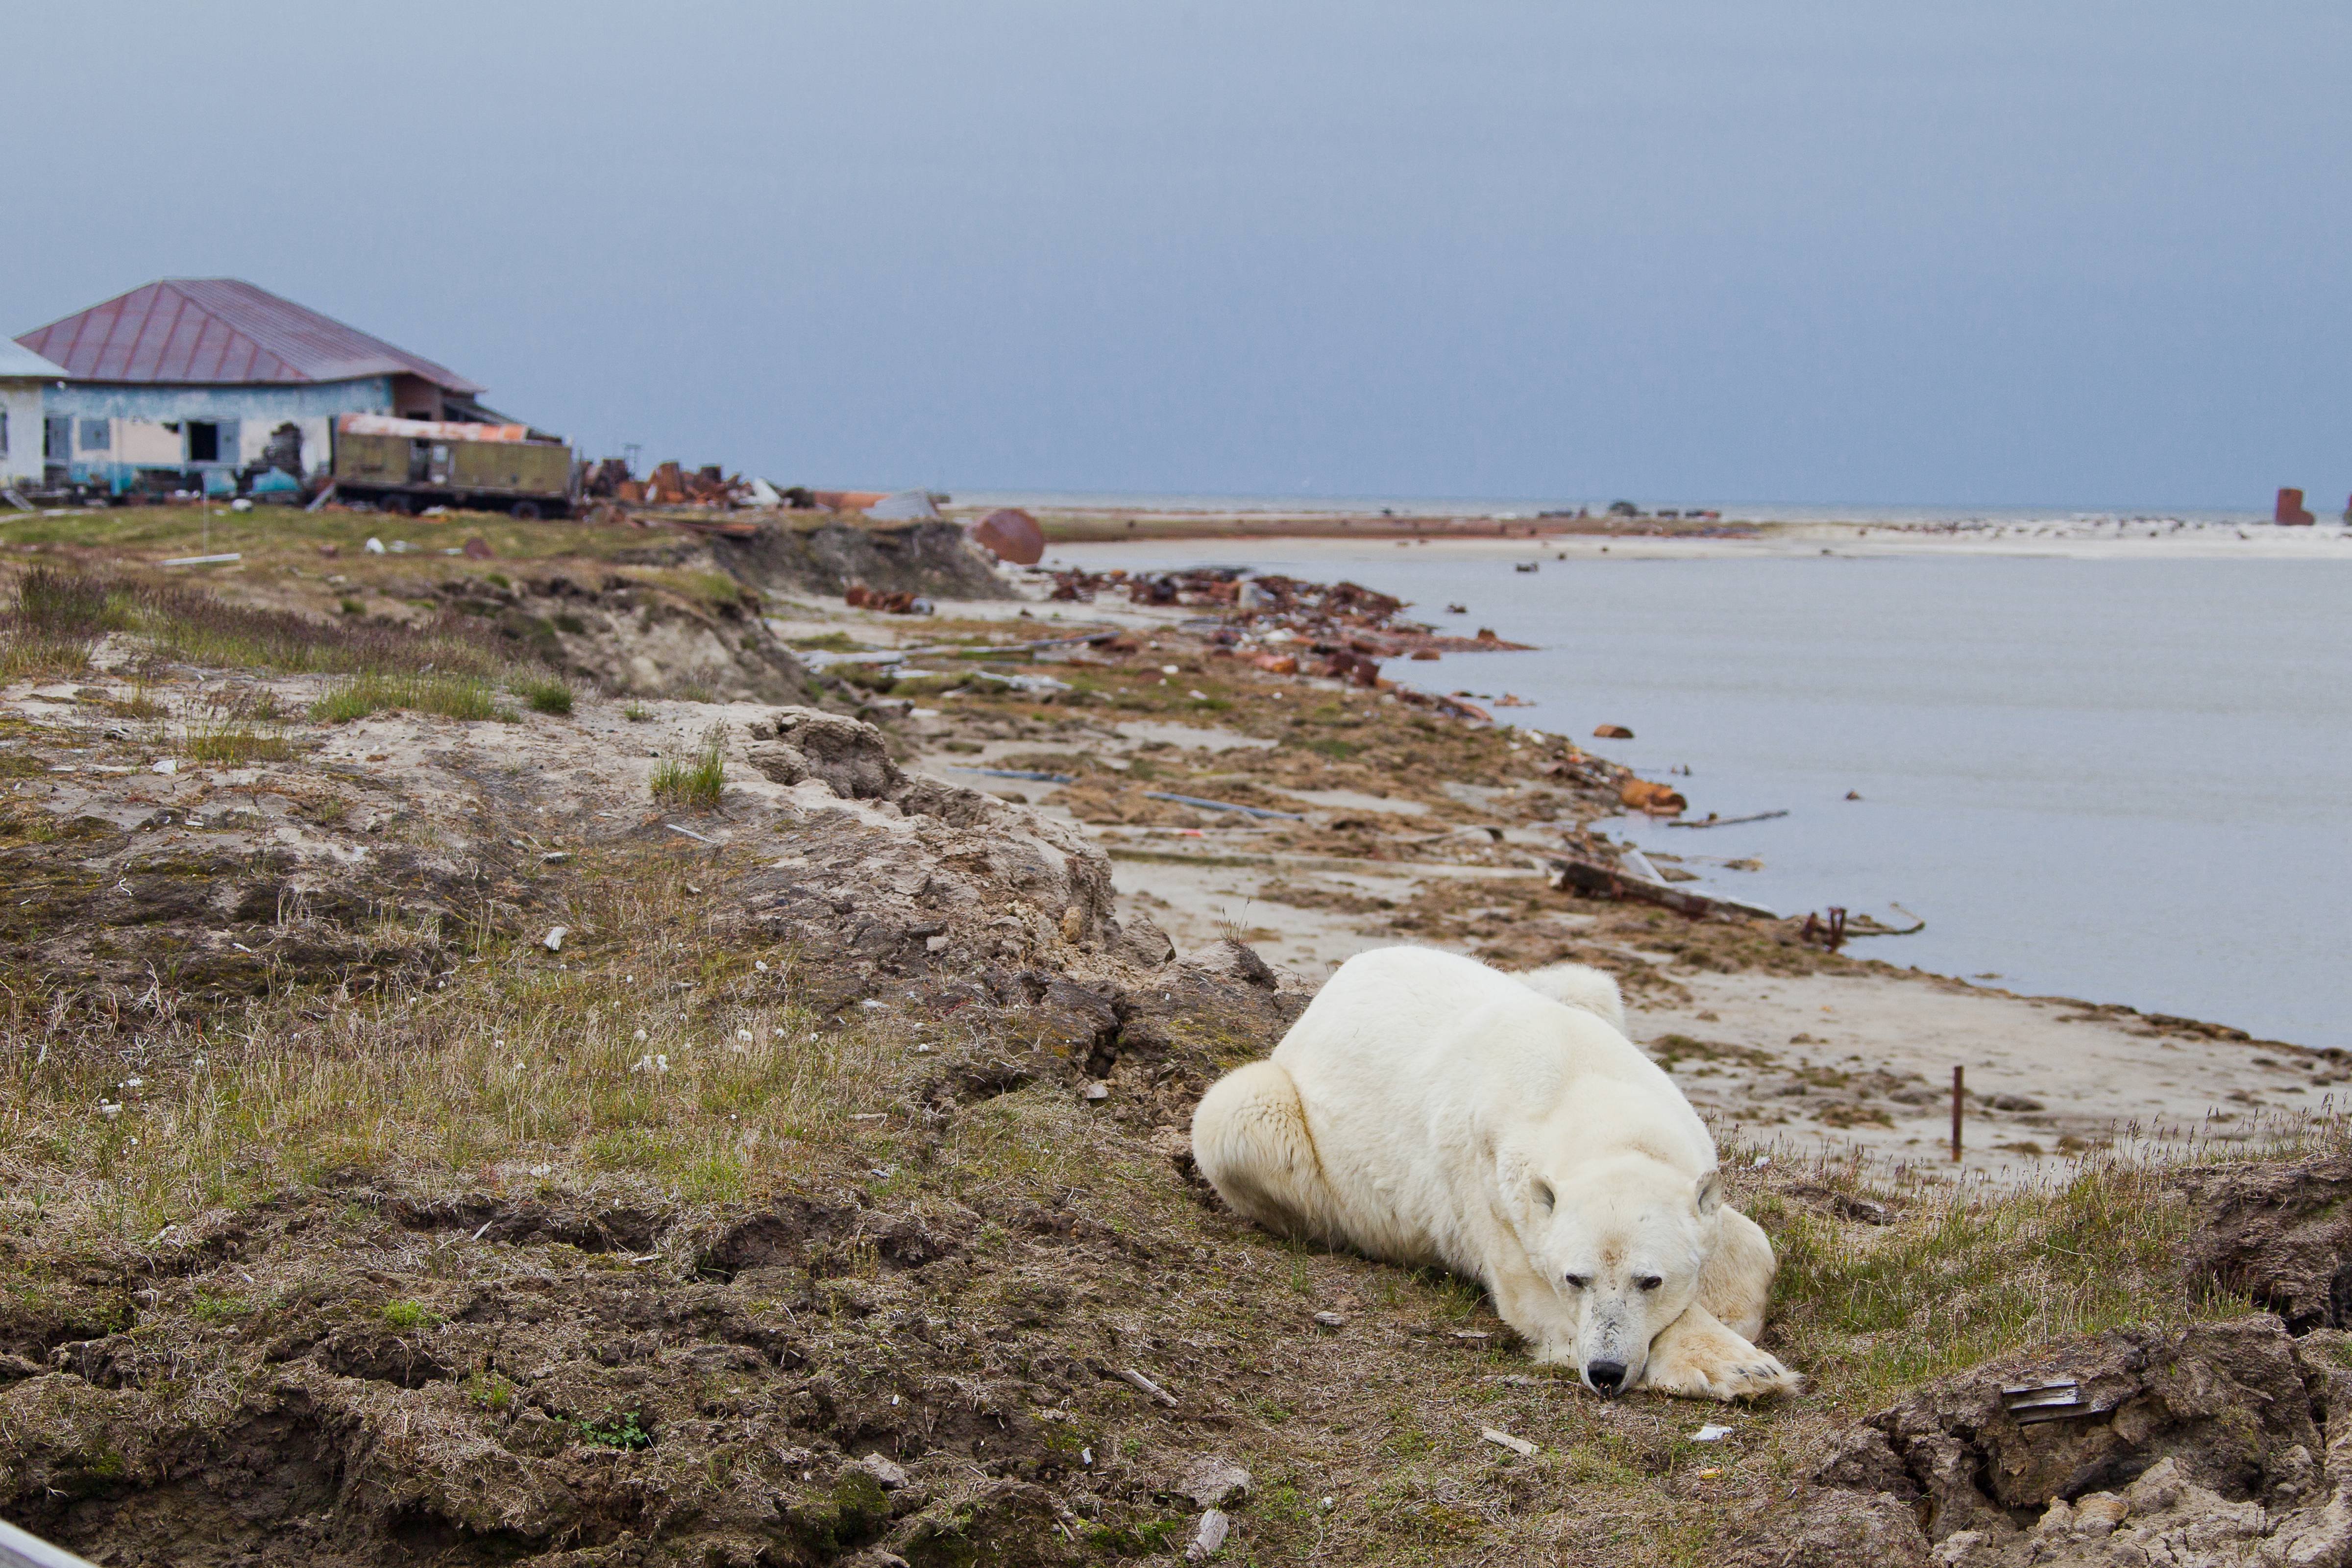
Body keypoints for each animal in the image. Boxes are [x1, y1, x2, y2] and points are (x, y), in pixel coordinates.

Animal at [1195, 940, 1797, 1401]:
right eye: (1575, 1278)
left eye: (1650, 1279)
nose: (1604, 1372)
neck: (1581, 1084)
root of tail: (1321, 999)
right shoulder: (1494, 1196)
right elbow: (1532, 1301)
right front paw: (1740, 1366)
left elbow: (1751, 1243)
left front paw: (1734, 1315)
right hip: (1278, 1120)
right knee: (1238, 1117)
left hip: (1570, 986)